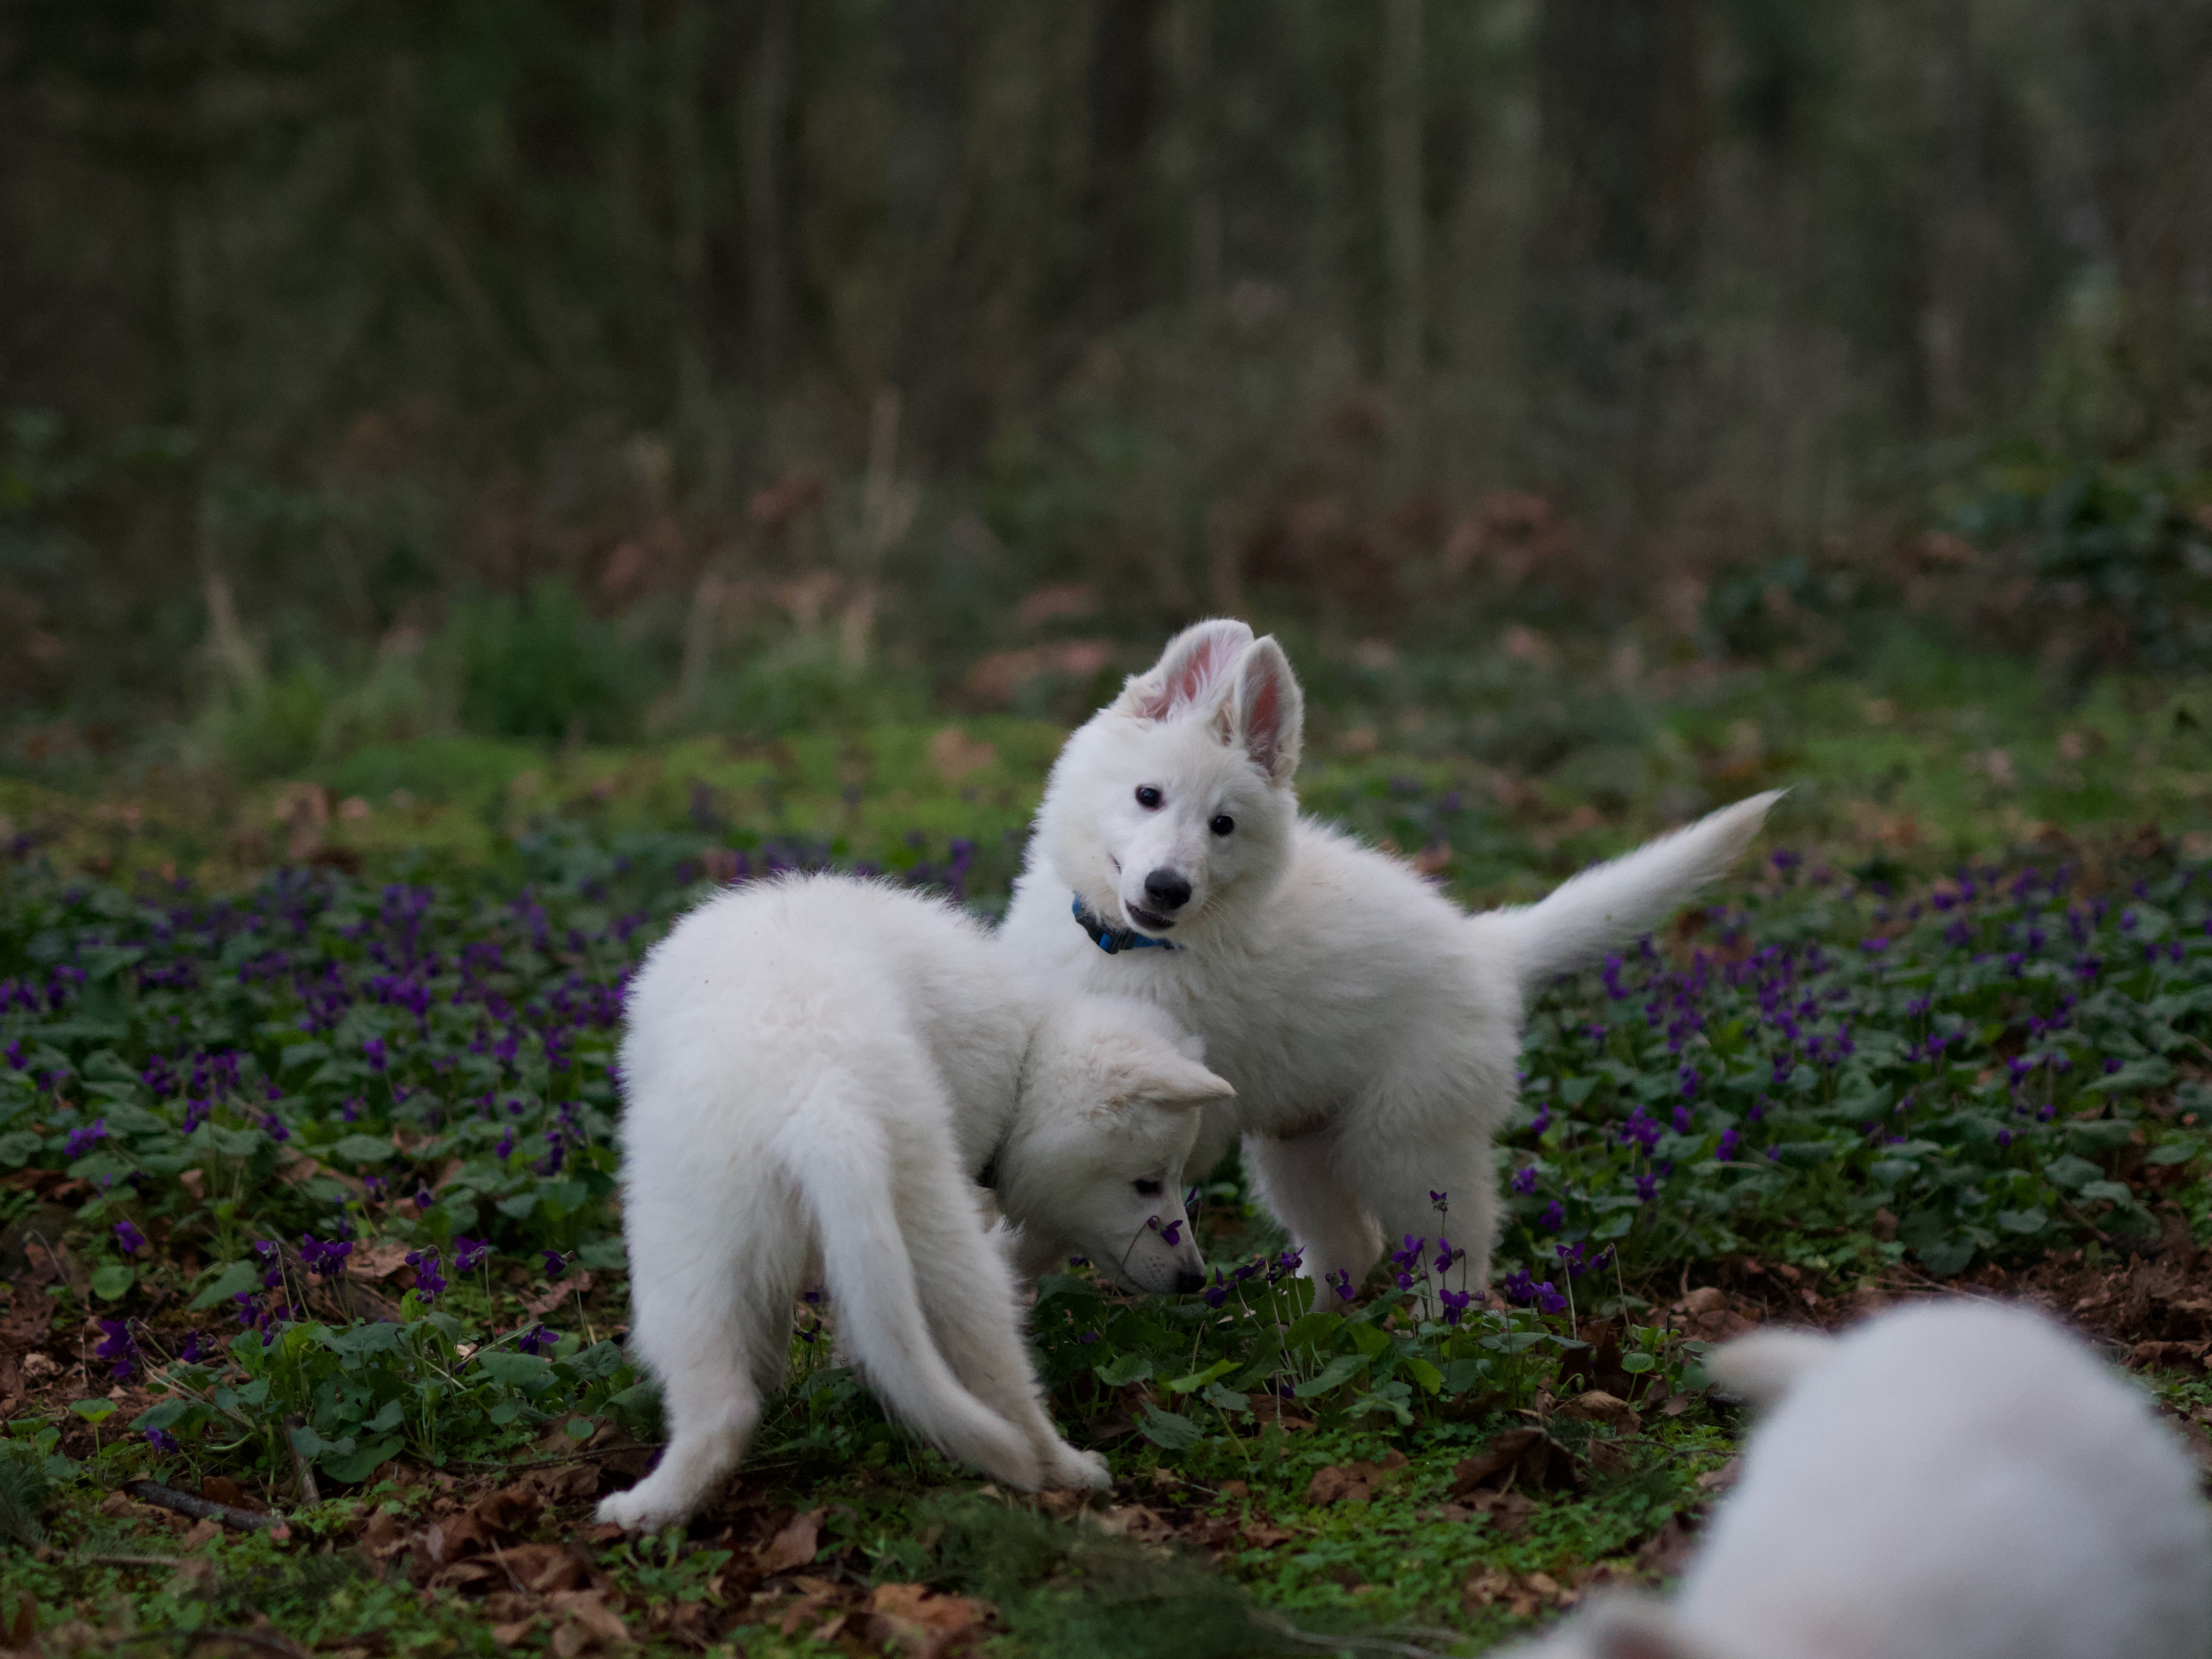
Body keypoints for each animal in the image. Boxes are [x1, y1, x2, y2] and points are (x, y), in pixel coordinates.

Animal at [597, 876, 1239, 1539]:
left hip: (685, 1241)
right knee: (991, 1374)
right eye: (1148, 1183)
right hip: (894, 1229)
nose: (1195, 1278)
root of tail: (823, 1104)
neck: (1023, 1048)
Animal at [1004, 619, 1778, 1309]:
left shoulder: (1175, 1104)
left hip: (1407, 1141)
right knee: (1352, 1244)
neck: (1128, 944)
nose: (1169, 887)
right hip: (1302, 1141)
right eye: (1149, 794)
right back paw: (1291, 1323)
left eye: (1223, 826)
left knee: (1454, 1245)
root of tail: (1486, 948)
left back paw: (1439, 1329)